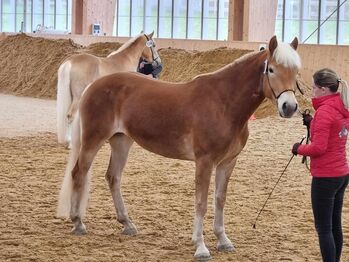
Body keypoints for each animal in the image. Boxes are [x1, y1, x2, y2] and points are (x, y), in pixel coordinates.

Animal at [56, 35, 300, 260]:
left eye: (295, 71)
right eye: (271, 69)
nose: (289, 107)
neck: (223, 103)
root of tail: (93, 86)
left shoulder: (227, 163)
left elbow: (220, 200)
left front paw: (223, 240)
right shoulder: (205, 161)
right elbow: (201, 202)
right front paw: (201, 247)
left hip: (121, 141)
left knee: (113, 177)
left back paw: (127, 224)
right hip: (92, 140)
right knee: (79, 173)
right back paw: (78, 222)